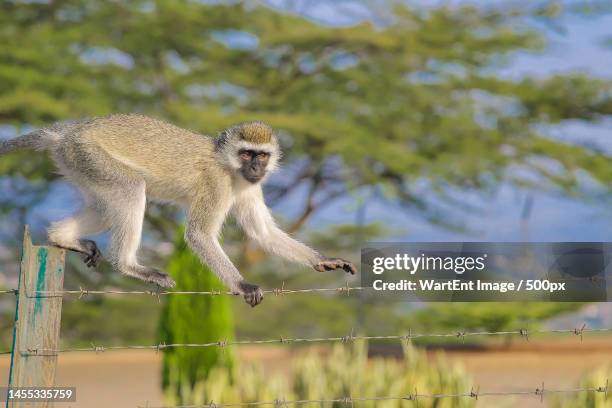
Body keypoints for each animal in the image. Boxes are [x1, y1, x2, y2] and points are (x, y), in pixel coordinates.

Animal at [0, 115, 356, 306]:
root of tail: (71, 131)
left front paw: (323, 259)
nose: (256, 168)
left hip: (77, 162)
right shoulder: (216, 184)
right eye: (246, 154)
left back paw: (63, 237)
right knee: (130, 190)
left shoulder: (249, 187)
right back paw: (129, 265)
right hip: (88, 155)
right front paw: (242, 285)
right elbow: (199, 234)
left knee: (104, 206)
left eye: (262, 155)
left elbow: (263, 232)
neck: (230, 167)